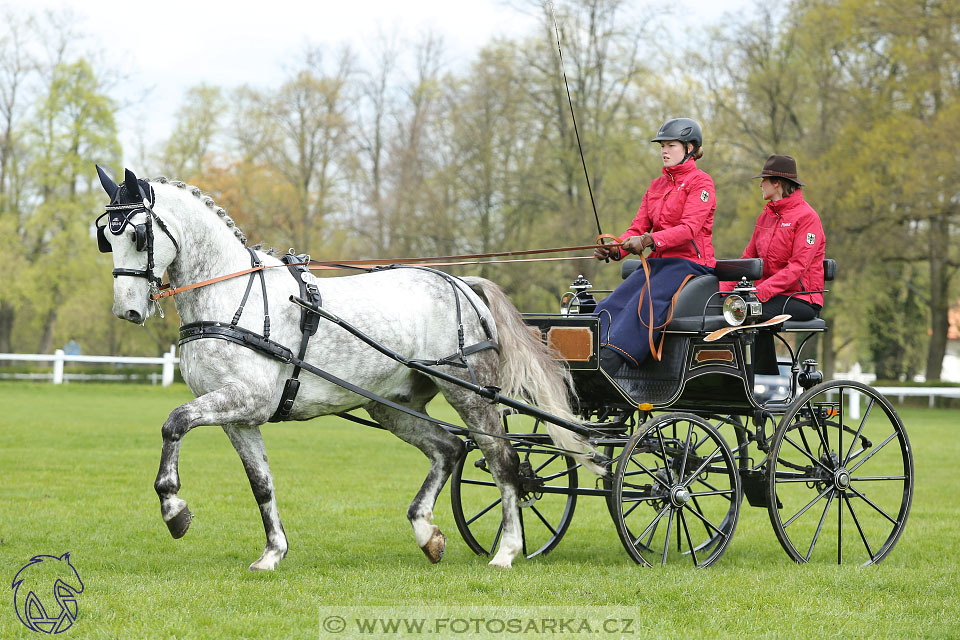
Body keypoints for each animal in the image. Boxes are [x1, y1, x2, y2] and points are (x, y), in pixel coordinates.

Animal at [97, 169, 600, 568]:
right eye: (107, 238)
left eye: (138, 235)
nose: (127, 311)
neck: (233, 296)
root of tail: (459, 281)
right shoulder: (240, 417)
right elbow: (261, 483)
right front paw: (272, 553)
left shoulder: (243, 399)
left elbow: (174, 423)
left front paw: (173, 509)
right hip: (392, 405)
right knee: (449, 449)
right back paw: (426, 533)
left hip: (469, 394)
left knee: (503, 460)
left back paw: (507, 551)